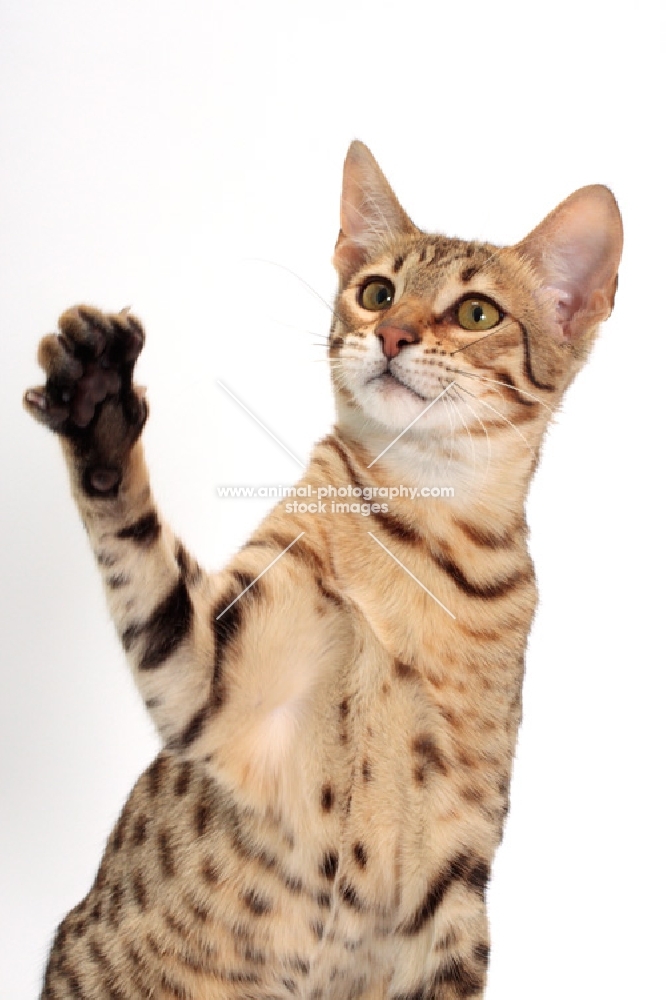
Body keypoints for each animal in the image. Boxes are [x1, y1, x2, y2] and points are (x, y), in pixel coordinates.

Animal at [23, 141, 620, 1000]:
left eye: (477, 313)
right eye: (377, 293)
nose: (393, 334)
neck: (421, 534)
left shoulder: (458, 884)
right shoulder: (220, 685)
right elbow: (143, 558)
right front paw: (100, 409)